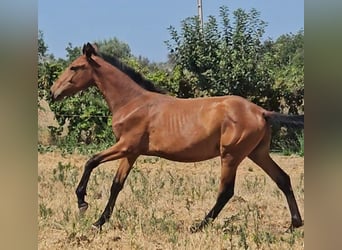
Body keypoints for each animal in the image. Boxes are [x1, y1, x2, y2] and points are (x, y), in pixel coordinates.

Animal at [50, 43, 302, 232]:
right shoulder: (131, 152)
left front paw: (82, 202)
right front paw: (99, 222)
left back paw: (198, 226)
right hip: (257, 153)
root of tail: (261, 112)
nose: (53, 92)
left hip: (231, 156)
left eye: (74, 67)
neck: (133, 102)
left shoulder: (125, 145)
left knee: (226, 191)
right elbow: (116, 185)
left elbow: (91, 161)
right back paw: (294, 225)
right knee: (283, 179)